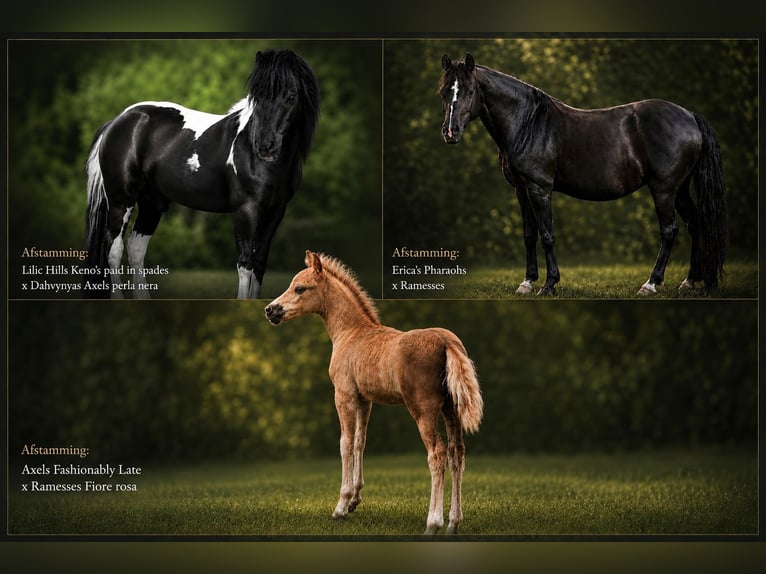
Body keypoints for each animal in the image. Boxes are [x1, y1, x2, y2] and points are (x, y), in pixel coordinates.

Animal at [83, 49, 320, 299]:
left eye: (291, 97)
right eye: (257, 97)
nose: (265, 146)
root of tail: (117, 121)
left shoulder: (275, 212)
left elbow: (259, 264)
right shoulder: (246, 209)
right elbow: (246, 263)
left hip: (151, 203)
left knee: (136, 248)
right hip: (121, 200)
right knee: (114, 249)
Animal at [265, 251, 483, 534]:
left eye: (300, 288)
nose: (270, 310)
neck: (350, 333)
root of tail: (447, 343)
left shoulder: (343, 395)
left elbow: (345, 443)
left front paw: (341, 506)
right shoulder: (364, 399)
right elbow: (360, 441)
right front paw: (354, 501)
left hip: (423, 408)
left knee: (437, 454)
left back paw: (433, 523)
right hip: (451, 408)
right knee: (458, 453)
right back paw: (453, 523)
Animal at [439, 53, 728, 296]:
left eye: (470, 90)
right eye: (443, 92)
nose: (450, 132)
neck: (529, 123)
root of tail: (690, 116)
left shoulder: (539, 189)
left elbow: (547, 234)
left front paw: (549, 284)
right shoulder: (522, 190)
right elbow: (529, 235)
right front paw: (527, 282)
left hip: (664, 189)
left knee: (669, 231)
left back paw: (651, 284)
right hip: (680, 189)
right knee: (695, 224)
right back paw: (690, 281)